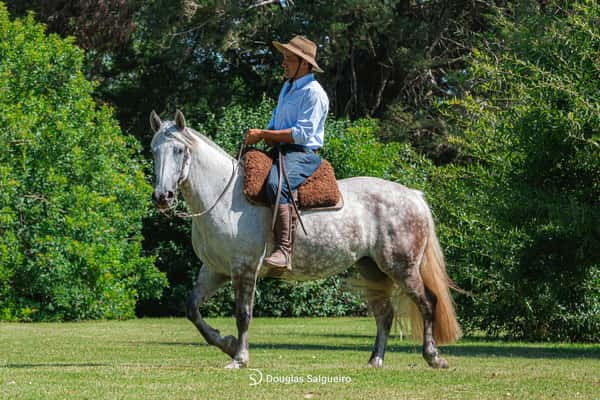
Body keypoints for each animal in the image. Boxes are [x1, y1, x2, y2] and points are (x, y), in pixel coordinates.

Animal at [149, 109, 460, 368]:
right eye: (154, 151)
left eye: (179, 150)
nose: (163, 196)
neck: (223, 196)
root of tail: (414, 196)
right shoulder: (215, 270)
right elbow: (192, 308)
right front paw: (226, 343)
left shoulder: (244, 269)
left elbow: (243, 314)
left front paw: (239, 357)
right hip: (372, 269)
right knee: (385, 314)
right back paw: (375, 360)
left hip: (402, 268)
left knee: (428, 304)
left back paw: (434, 357)